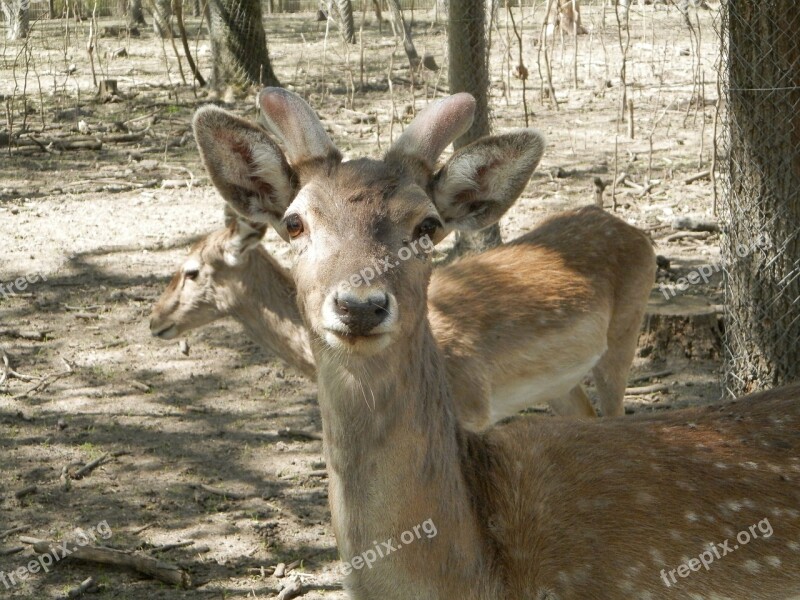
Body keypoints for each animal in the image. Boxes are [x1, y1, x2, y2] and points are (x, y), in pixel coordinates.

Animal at [150, 203, 656, 426]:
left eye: (191, 270)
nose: (155, 319)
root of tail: (641, 234)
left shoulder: (473, 407)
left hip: (626, 333)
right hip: (559, 381)